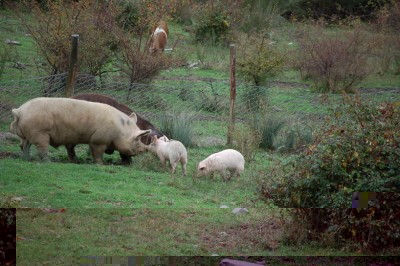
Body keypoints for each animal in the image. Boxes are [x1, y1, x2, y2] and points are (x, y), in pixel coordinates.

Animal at [10, 97, 152, 164]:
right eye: (137, 139)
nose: (143, 151)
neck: (121, 129)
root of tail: (19, 111)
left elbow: (71, 148)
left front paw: (76, 161)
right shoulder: (98, 139)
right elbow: (97, 153)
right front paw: (102, 164)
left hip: (25, 134)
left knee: (23, 145)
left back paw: (26, 159)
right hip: (40, 132)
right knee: (41, 147)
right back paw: (48, 162)